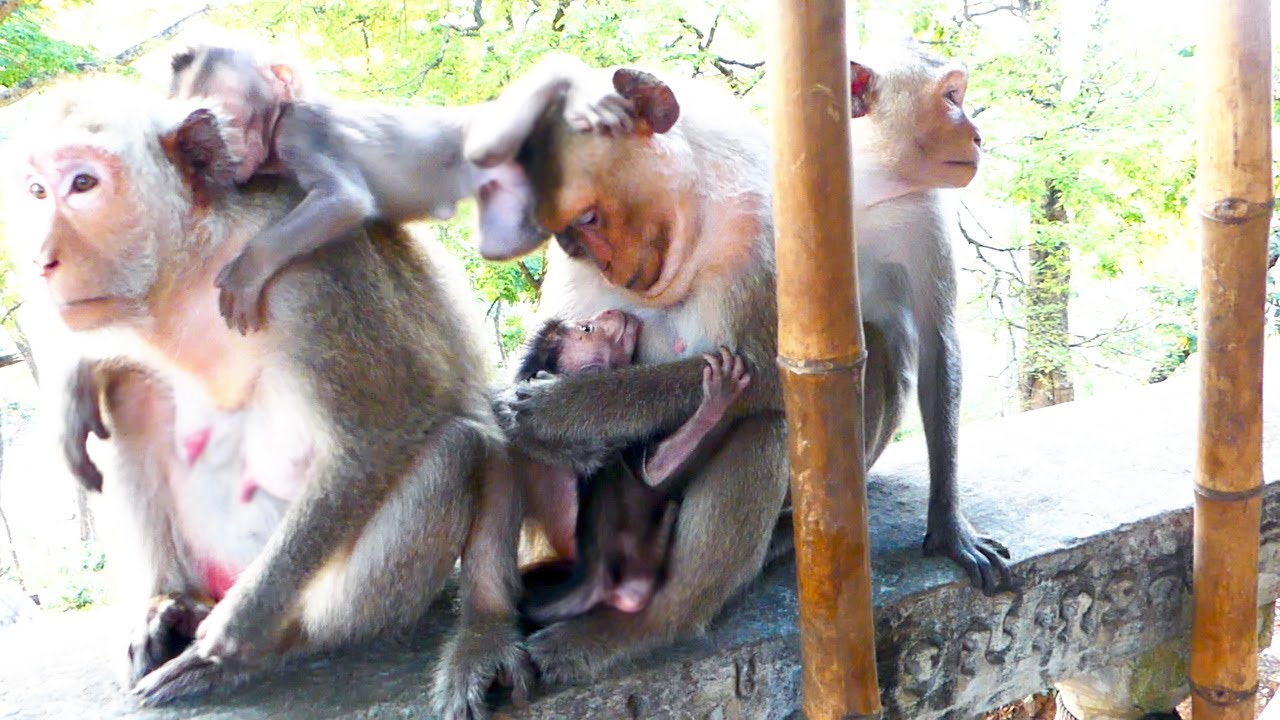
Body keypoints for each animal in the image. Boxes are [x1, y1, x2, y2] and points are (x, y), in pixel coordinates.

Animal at [11, 76, 546, 719]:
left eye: (83, 184)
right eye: (36, 191)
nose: (40, 260)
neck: (195, 265)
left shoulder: (317, 279)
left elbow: (379, 436)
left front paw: (234, 634)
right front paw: (76, 374)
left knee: (457, 449)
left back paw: (270, 645)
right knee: (130, 390)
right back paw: (169, 602)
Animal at [165, 40, 636, 334]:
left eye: (224, 115)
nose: (209, 144)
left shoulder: (302, 130)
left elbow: (345, 199)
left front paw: (247, 270)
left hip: (483, 128)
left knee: (484, 143)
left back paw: (564, 72)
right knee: (502, 243)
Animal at [509, 311, 751, 624]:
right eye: (587, 328)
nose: (609, 311)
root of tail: (594, 579)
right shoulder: (613, 434)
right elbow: (654, 471)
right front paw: (716, 399)